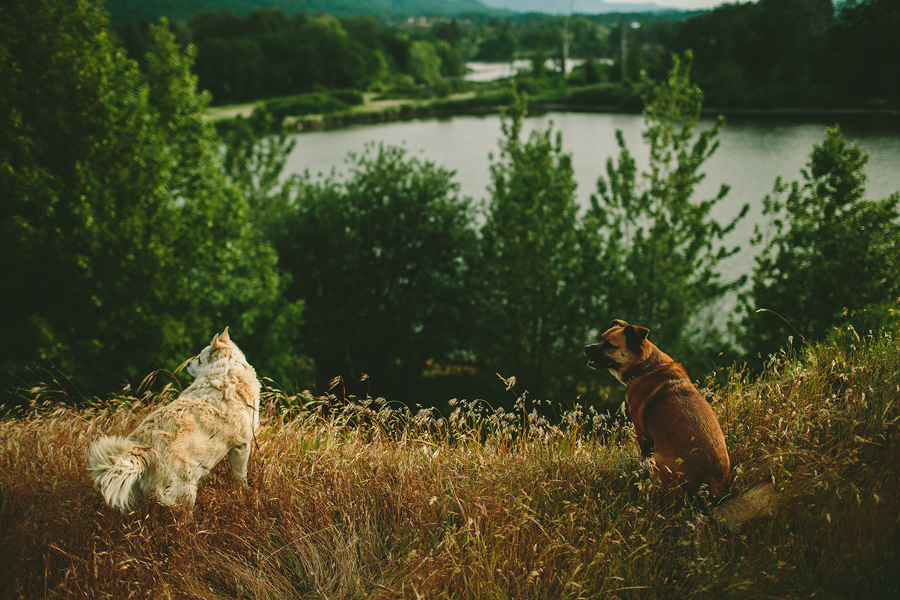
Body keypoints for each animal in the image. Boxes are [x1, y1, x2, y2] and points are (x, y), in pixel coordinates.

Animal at [88, 326, 260, 512]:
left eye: (198, 359)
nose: (189, 363)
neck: (227, 371)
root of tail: (143, 452)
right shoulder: (242, 446)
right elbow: (241, 476)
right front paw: (244, 492)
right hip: (186, 492)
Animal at [588, 322, 728, 500]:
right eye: (600, 338)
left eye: (609, 345)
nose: (586, 348)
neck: (646, 367)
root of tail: (708, 488)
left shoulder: (641, 431)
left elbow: (643, 454)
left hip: (657, 461)